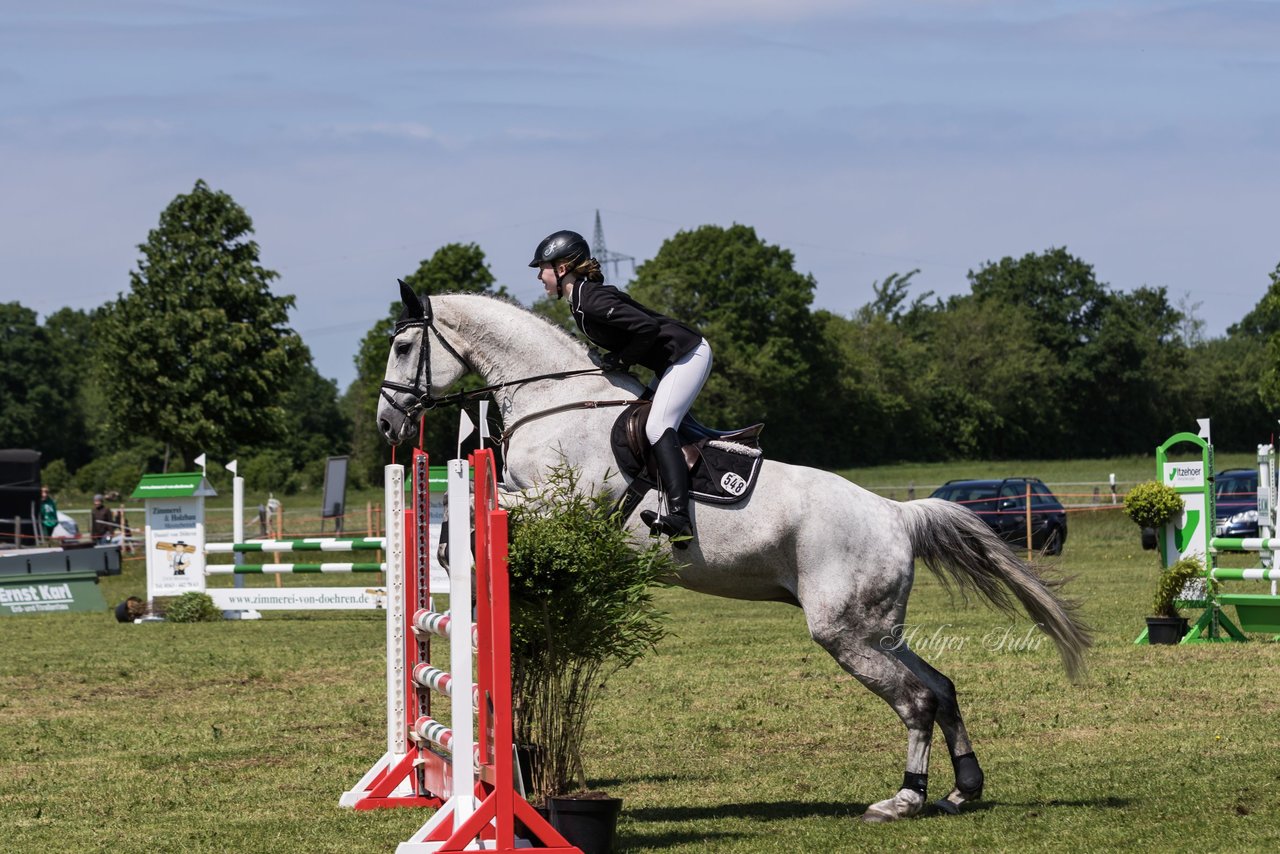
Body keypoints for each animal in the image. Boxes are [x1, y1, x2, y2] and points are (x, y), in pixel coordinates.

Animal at [376, 286, 1090, 819]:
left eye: (405, 346)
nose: (388, 424)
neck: (557, 400)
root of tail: (895, 513)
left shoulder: (562, 503)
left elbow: (473, 517)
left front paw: (459, 561)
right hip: (875, 627)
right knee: (939, 687)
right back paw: (962, 788)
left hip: (842, 630)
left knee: (916, 700)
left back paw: (902, 801)